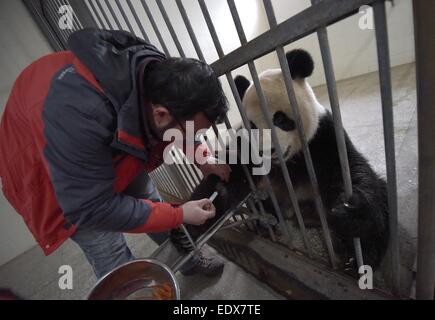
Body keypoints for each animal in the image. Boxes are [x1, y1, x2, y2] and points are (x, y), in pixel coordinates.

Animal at [171, 48, 392, 274]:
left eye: (279, 119)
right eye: (252, 125)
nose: (266, 151)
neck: (287, 162)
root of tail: (301, 214)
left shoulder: (322, 136)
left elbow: (349, 168)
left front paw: (353, 214)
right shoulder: (245, 147)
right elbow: (226, 177)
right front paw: (187, 228)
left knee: (382, 194)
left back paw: (357, 259)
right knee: (261, 203)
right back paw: (264, 223)